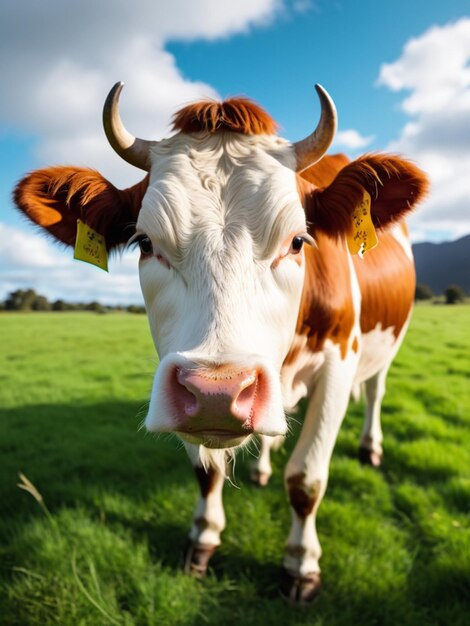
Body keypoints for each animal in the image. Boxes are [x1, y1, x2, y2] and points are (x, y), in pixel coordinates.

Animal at [12, 80, 428, 604]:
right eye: (145, 243)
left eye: (297, 241)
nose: (218, 392)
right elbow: (206, 471)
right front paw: (203, 539)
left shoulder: (338, 365)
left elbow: (306, 480)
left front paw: (301, 565)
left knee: (375, 390)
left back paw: (371, 448)